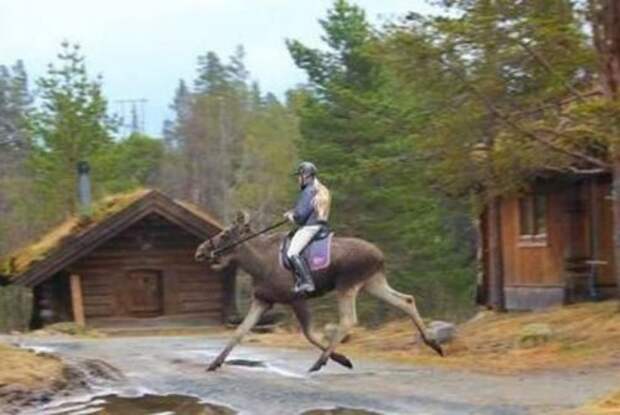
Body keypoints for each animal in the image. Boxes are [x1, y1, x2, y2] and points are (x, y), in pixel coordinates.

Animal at [194, 211, 440, 374]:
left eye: (225, 234)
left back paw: (319, 362)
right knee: (406, 300)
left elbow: (310, 334)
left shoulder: (297, 298)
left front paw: (342, 359)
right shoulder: (263, 299)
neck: (256, 265)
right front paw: (215, 363)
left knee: (349, 320)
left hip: (347, 284)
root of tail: (380, 256)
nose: (200, 251)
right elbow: (239, 332)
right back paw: (433, 343)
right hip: (372, 282)